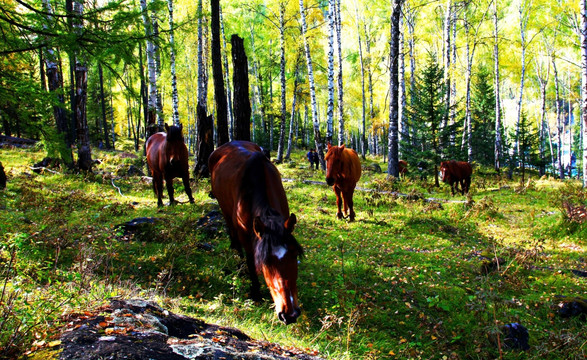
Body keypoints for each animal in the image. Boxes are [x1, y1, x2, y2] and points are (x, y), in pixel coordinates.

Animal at [209, 141, 304, 326]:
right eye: (266, 261)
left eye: (294, 254)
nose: (289, 314)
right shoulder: (247, 238)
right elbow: (251, 262)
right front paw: (256, 294)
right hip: (225, 212)